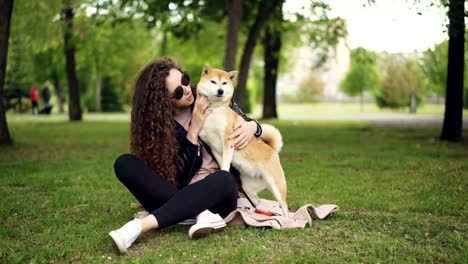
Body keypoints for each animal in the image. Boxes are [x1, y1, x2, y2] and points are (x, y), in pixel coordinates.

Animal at [196, 64, 288, 217]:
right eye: (213, 82)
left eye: (224, 83)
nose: (220, 91)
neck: (214, 110)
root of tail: (273, 150)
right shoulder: (213, 147)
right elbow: (222, 161)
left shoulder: (228, 140)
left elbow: (226, 161)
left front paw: (224, 172)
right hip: (248, 186)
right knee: (257, 202)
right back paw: (251, 213)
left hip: (275, 184)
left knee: (284, 206)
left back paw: (288, 220)